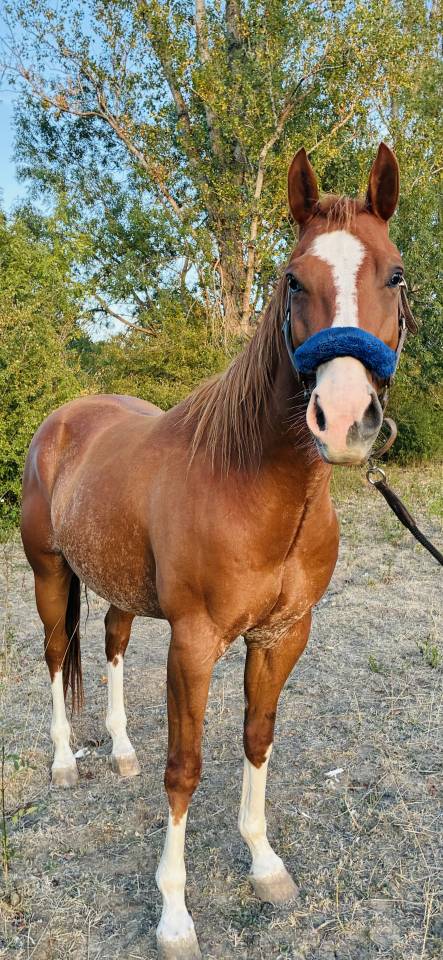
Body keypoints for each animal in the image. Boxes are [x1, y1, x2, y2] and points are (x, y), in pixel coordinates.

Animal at [21, 143, 408, 960]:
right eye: (293, 278)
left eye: (393, 275)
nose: (343, 419)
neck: (255, 488)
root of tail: (62, 419)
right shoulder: (195, 642)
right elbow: (186, 768)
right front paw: (173, 914)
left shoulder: (282, 636)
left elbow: (256, 740)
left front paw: (263, 864)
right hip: (49, 574)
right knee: (55, 655)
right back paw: (67, 760)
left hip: (120, 590)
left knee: (109, 645)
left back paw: (119, 749)